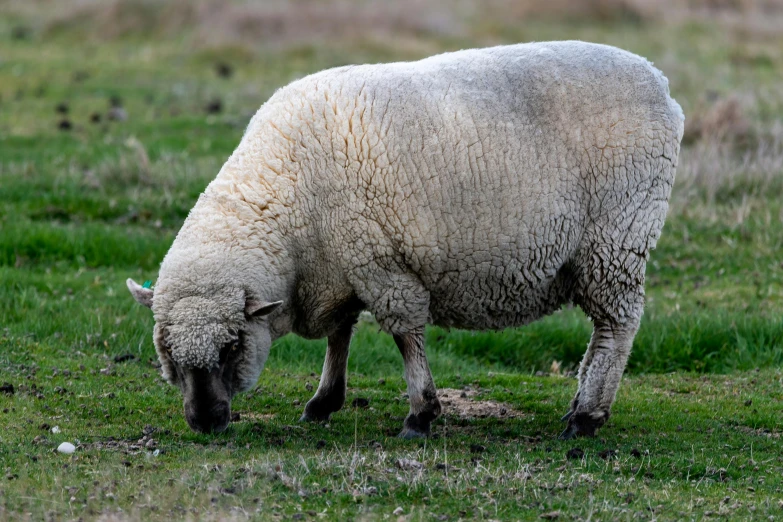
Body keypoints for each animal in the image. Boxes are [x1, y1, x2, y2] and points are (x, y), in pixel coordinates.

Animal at [125, 40, 684, 436]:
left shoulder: (381, 263)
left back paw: (586, 417)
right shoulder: (341, 268)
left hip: (616, 236)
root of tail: (662, 85)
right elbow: (341, 333)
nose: (204, 423)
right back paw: (581, 406)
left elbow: (404, 336)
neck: (289, 204)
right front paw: (324, 401)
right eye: (167, 354)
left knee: (617, 326)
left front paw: (420, 415)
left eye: (231, 347)